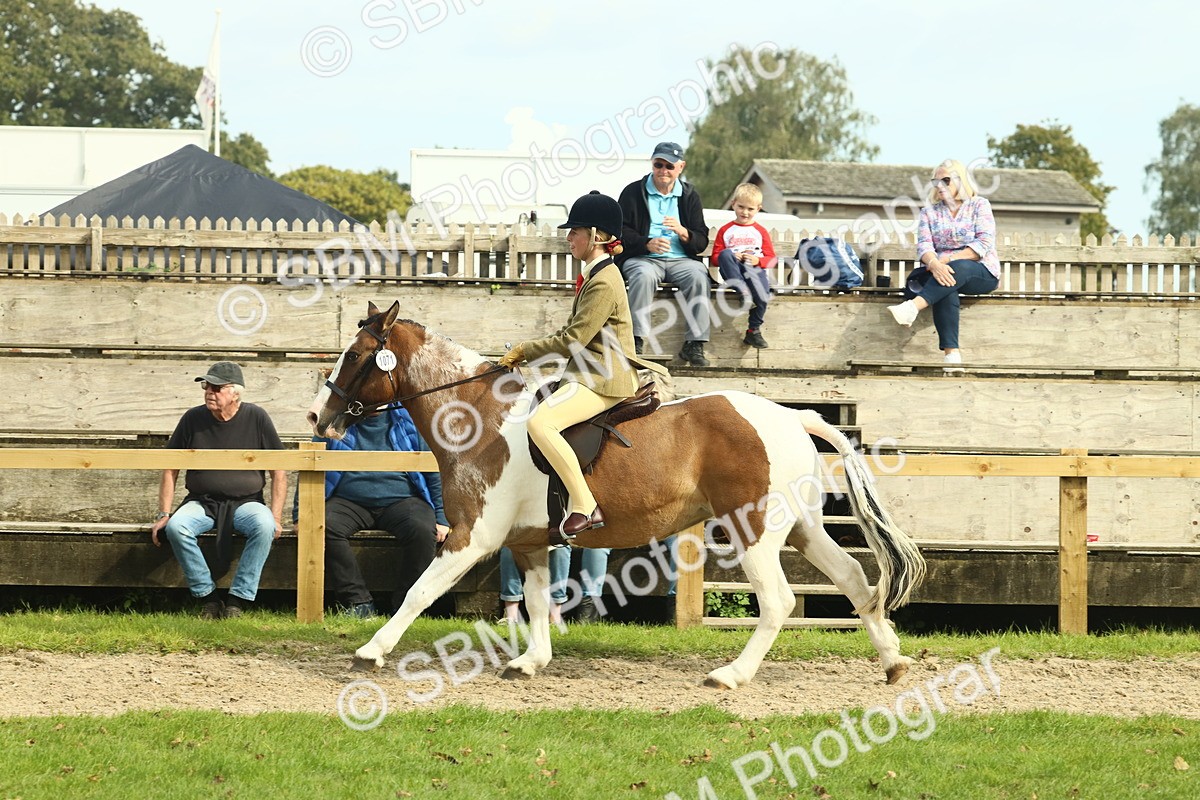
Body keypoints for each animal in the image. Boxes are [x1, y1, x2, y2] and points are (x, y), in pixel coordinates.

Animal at [308, 301, 926, 689]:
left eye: (356, 356)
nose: (317, 417)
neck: (480, 418)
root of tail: (794, 416)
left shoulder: (471, 537)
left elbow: (419, 592)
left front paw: (371, 651)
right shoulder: (530, 543)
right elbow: (537, 601)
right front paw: (530, 663)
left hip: (752, 531)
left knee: (777, 601)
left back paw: (731, 675)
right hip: (799, 527)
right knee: (854, 577)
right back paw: (893, 663)